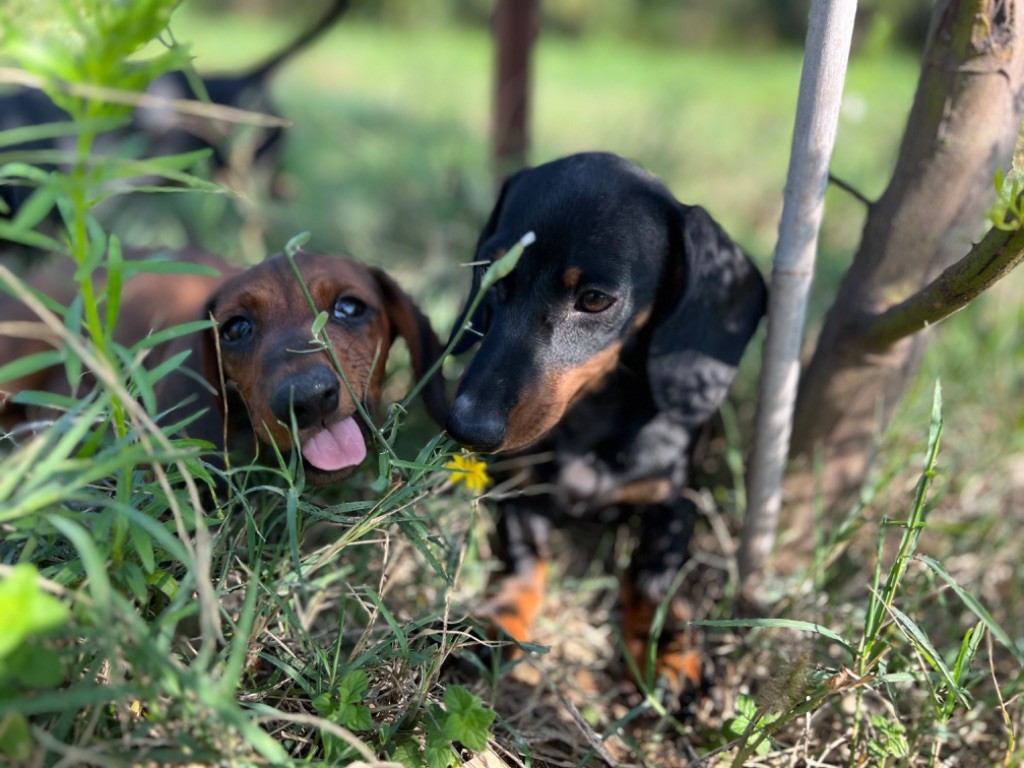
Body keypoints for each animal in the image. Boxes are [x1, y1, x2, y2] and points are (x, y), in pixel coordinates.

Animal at [448, 150, 770, 708]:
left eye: (595, 299)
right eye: (490, 266)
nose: (467, 427)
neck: (589, 422)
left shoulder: (673, 504)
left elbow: (649, 580)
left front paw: (670, 654)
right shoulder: (519, 495)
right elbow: (525, 565)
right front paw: (497, 623)